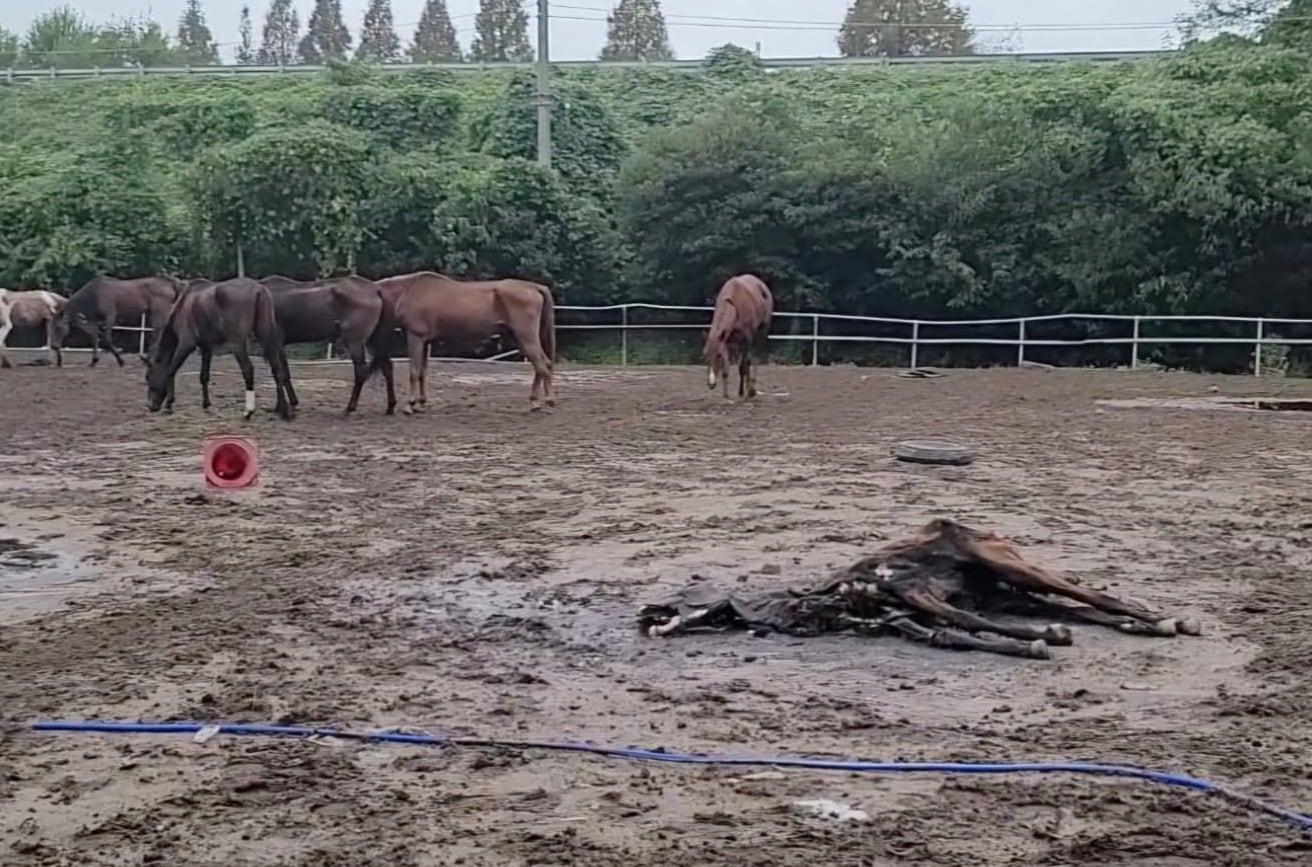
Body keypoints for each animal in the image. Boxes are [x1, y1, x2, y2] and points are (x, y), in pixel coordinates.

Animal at [146, 274, 295, 417]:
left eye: (148, 376)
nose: (150, 406)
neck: (184, 305)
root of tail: (258, 288)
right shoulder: (206, 347)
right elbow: (204, 375)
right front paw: (206, 404)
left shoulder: (186, 344)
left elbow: (171, 370)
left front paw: (168, 405)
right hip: (266, 336)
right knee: (277, 370)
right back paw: (282, 409)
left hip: (237, 345)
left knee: (248, 369)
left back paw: (249, 410)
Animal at [258, 275, 396, 414]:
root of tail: (375, 289)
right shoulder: (280, 345)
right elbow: (285, 373)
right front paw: (292, 403)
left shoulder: (273, 343)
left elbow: (278, 373)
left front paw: (280, 407)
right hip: (376, 342)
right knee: (387, 368)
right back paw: (390, 406)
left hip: (355, 342)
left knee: (361, 372)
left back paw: (350, 407)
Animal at [377, 274, 556, 417]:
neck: (408, 291)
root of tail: (535, 287)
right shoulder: (425, 342)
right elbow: (422, 373)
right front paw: (420, 404)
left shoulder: (415, 338)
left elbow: (414, 372)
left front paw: (410, 405)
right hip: (524, 340)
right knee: (543, 364)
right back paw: (536, 400)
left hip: (527, 338)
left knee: (541, 366)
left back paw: (544, 401)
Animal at [703, 272, 771, 401]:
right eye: (706, 355)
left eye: (718, 355)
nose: (711, 384)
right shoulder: (726, 343)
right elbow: (726, 369)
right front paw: (726, 395)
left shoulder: (746, 341)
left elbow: (743, 366)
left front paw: (747, 393)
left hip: (761, 332)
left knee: (755, 358)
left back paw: (751, 390)